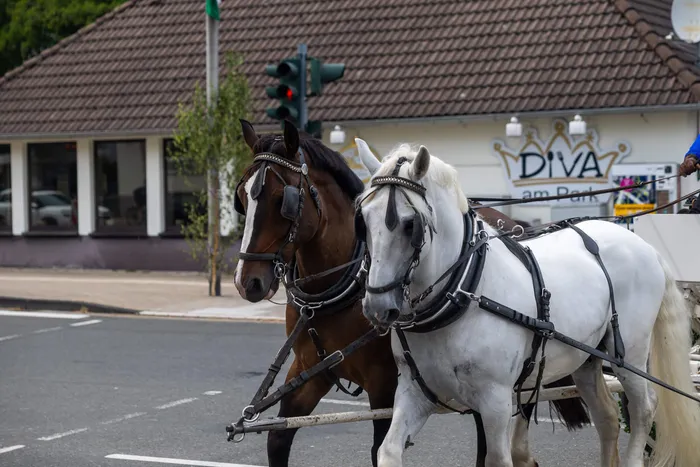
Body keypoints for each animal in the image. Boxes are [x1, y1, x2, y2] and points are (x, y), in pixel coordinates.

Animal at [232, 119, 590, 467]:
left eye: (284, 200)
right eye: (242, 198)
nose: (247, 281)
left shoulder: (385, 386)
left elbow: (377, 447)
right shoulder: (309, 372)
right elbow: (279, 438)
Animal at [354, 140, 700, 467]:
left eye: (409, 224)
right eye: (363, 220)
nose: (377, 307)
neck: (463, 293)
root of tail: (645, 245)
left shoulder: (495, 401)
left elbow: (497, 458)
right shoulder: (414, 393)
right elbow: (387, 451)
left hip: (629, 355)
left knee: (644, 409)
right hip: (586, 358)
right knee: (607, 419)